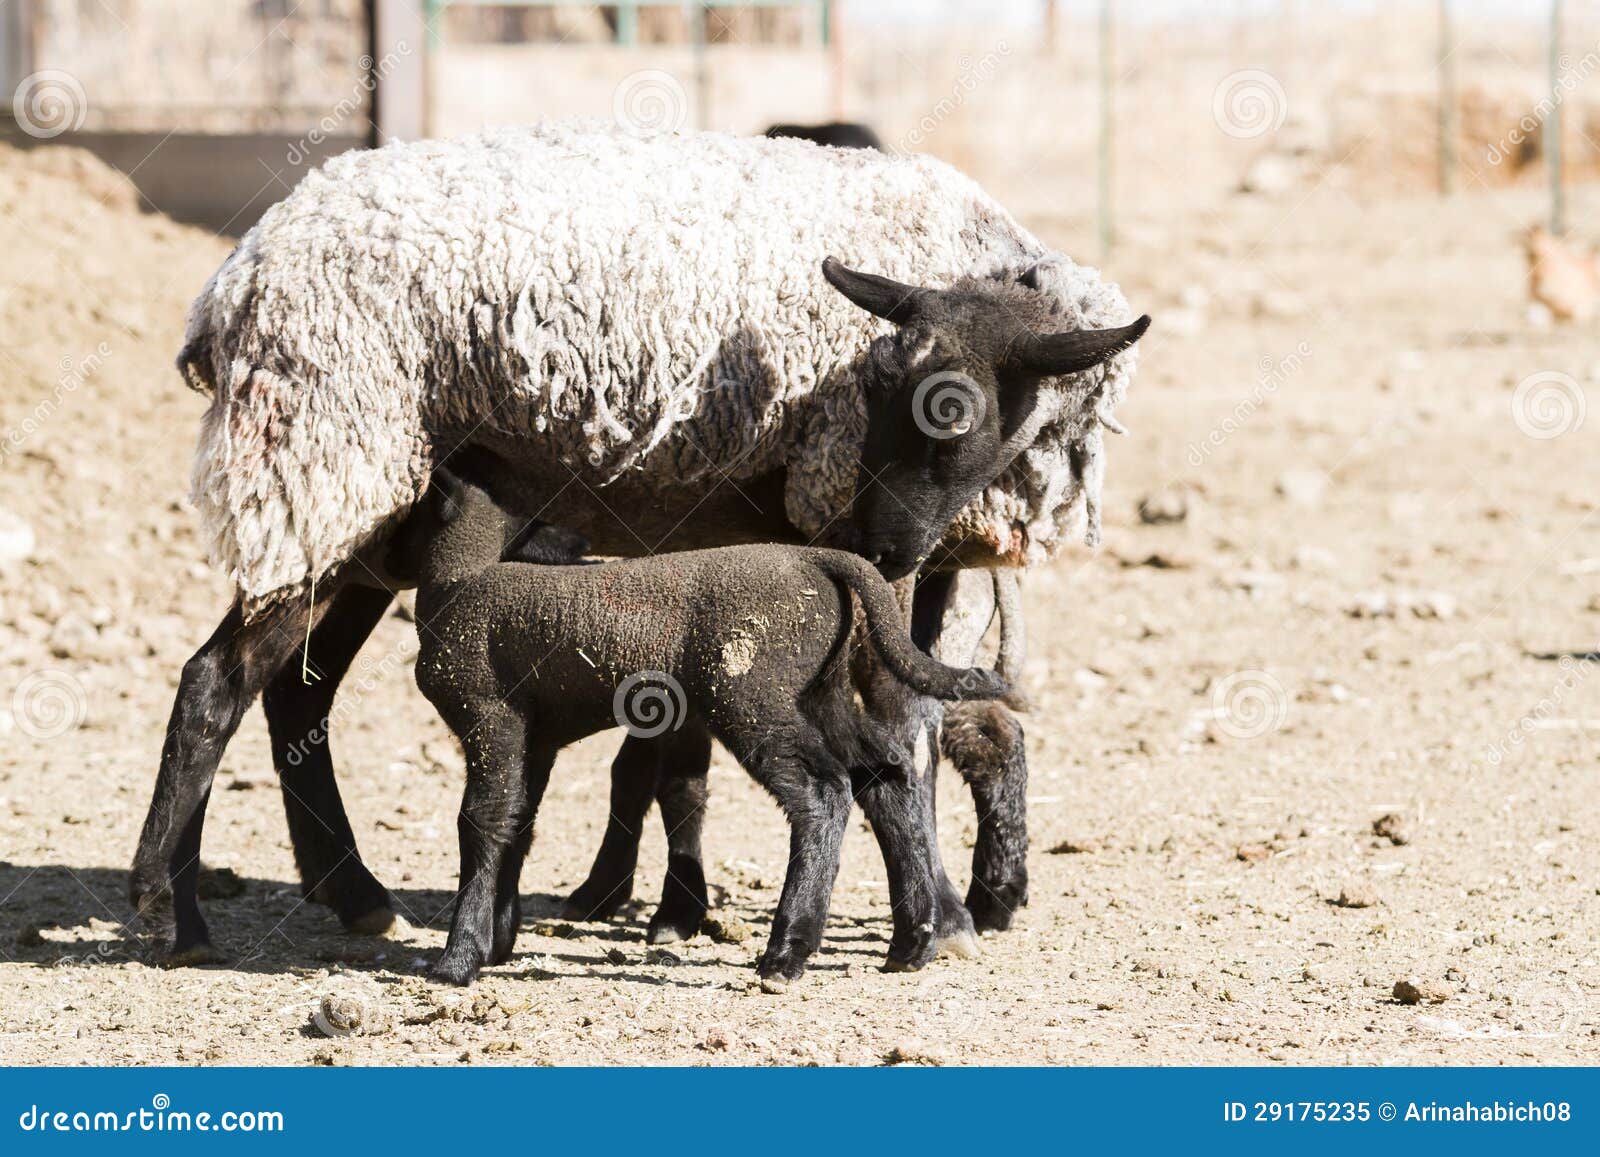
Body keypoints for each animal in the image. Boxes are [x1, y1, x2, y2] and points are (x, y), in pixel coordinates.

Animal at [389, 468, 1007, 986]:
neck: (458, 581)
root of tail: (820, 562)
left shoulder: (489, 716)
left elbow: (482, 821)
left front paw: (458, 960)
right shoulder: (535, 737)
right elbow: (519, 822)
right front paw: (498, 942)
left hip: (752, 695)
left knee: (822, 792)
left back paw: (786, 954)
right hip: (818, 692)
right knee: (885, 772)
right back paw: (912, 942)